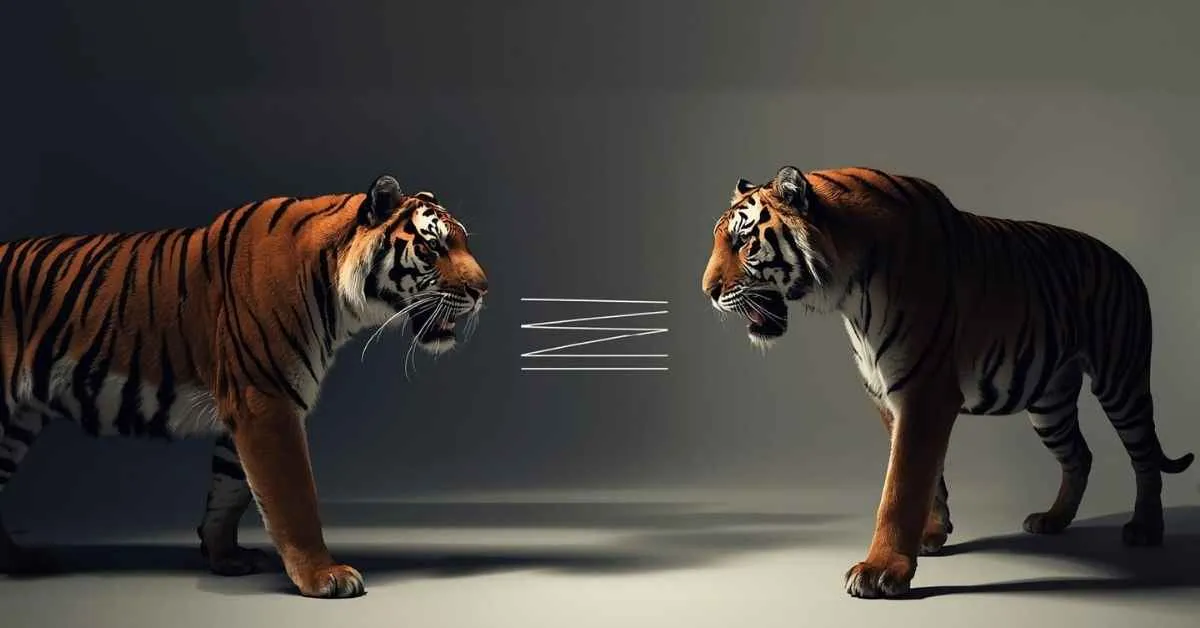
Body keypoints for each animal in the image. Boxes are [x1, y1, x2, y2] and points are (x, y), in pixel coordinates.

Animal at [0, 174, 488, 598]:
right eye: (432, 246)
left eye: (463, 242)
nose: (484, 290)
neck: (338, 298)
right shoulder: (266, 403)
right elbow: (292, 497)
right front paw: (323, 576)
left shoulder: (246, 408)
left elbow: (230, 489)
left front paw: (224, 557)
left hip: (17, 422)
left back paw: (18, 560)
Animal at [701, 165, 1194, 599]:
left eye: (743, 242)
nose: (707, 292)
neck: (845, 291)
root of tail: (1124, 263)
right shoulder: (887, 396)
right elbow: (927, 477)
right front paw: (929, 536)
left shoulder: (923, 391)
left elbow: (901, 484)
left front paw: (881, 571)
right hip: (1049, 402)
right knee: (1080, 455)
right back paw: (1054, 520)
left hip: (1121, 380)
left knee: (1144, 457)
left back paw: (1146, 528)